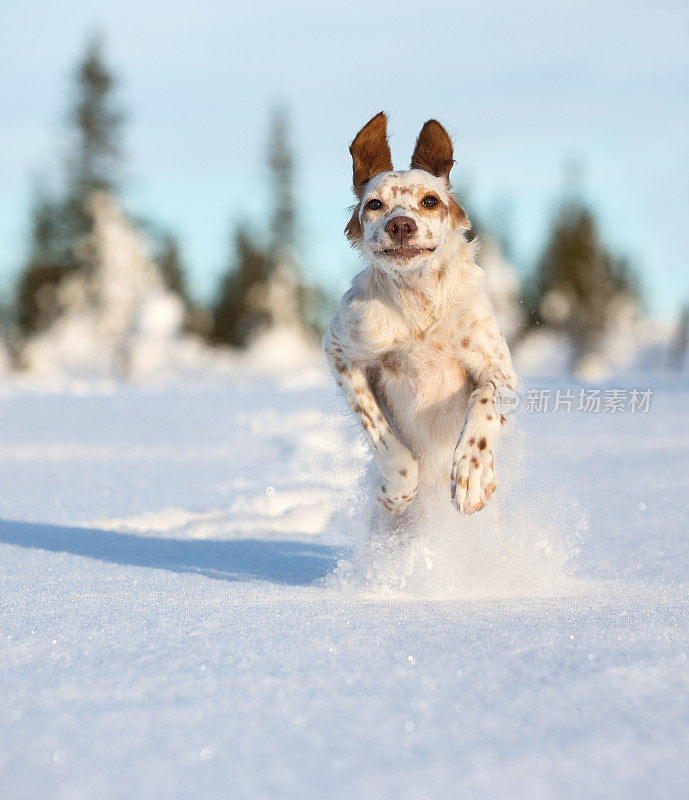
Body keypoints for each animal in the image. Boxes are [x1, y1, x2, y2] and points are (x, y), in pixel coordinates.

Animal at [322, 115, 516, 520]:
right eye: (374, 204)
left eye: (430, 201)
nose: (400, 225)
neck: (417, 300)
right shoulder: (340, 351)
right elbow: (381, 433)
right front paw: (397, 489)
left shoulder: (499, 368)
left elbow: (484, 400)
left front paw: (472, 474)